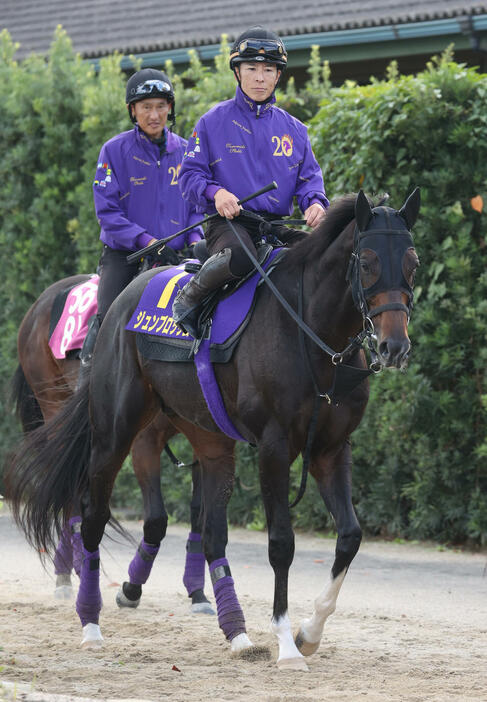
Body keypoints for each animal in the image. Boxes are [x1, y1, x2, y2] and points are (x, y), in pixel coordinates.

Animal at [10, 276, 216, 616]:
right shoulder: (144, 442)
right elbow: (156, 519)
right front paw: (131, 590)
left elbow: (200, 515)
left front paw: (198, 593)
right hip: (54, 406)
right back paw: (71, 572)